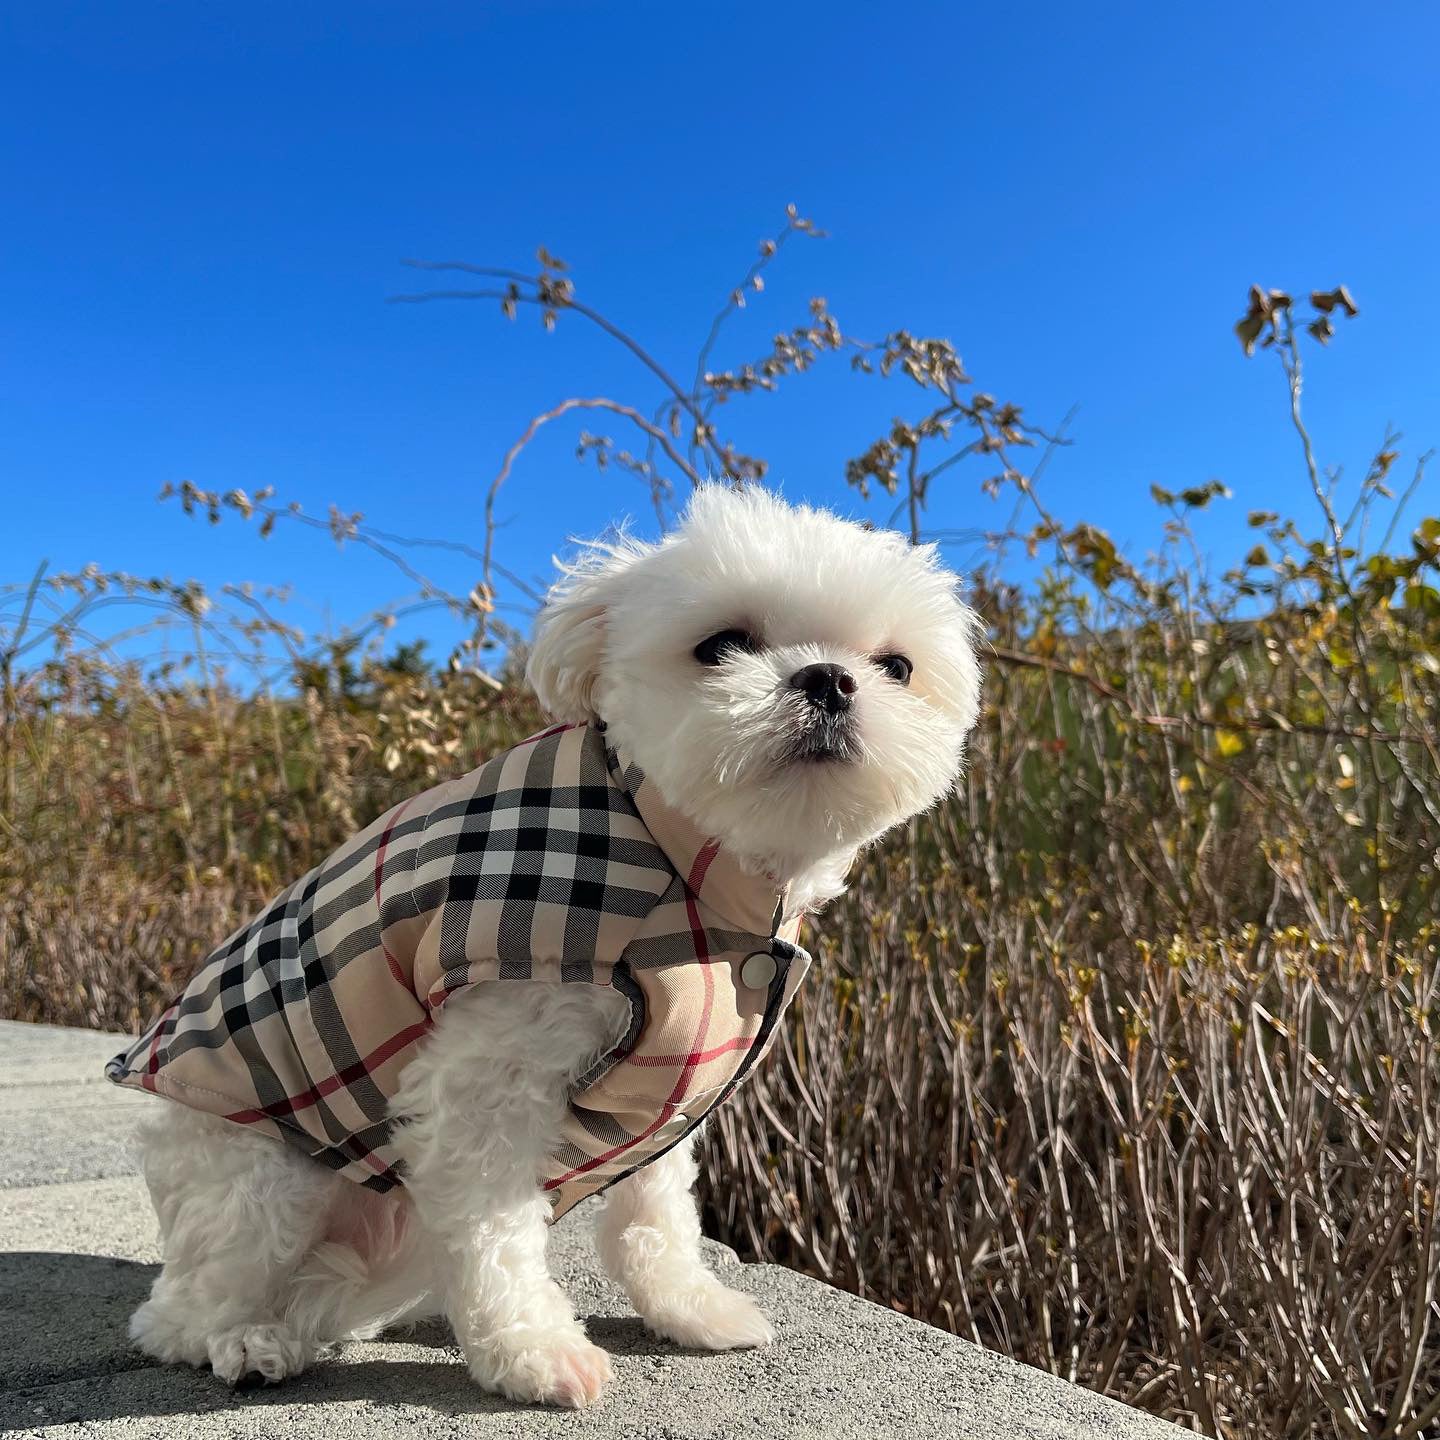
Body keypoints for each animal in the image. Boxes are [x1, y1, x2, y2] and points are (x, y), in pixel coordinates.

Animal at [123, 483, 984, 1405]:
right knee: (177, 1313)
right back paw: (251, 1340)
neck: (690, 868)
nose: (827, 678)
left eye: (895, 666)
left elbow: (658, 1212)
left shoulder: (670, 1087)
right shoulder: (491, 1068)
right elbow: (494, 1226)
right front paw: (533, 1349)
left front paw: (689, 1309)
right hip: (267, 1179)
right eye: (722, 645)